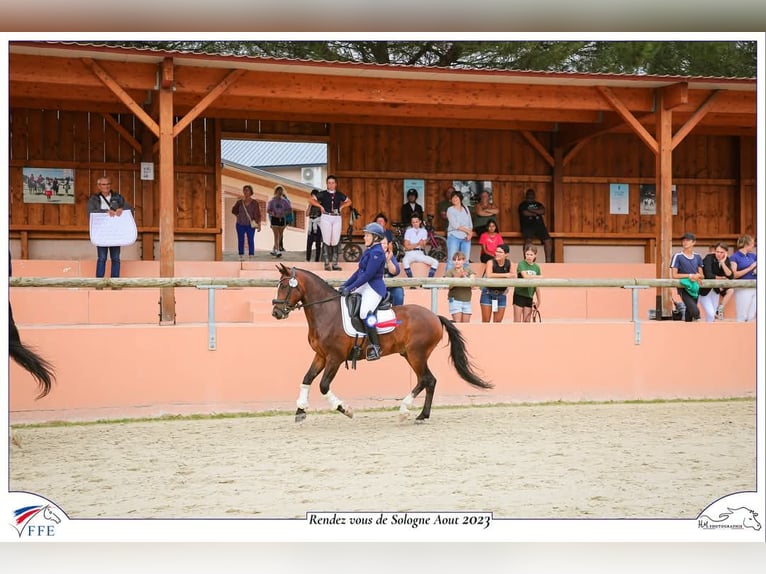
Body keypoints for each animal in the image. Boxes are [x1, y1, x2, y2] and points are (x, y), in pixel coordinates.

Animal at [272, 266, 496, 424]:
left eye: (284, 286)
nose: (276, 313)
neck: (327, 311)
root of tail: (435, 316)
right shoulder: (321, 355)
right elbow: (307, 379)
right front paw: (300, 411)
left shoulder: (335, 358)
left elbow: (323, 385)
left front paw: (346, 410)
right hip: (410, 354)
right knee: (429, 381)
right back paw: (422, 415)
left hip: (416, 354)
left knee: (426, 379)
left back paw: (406, 411)